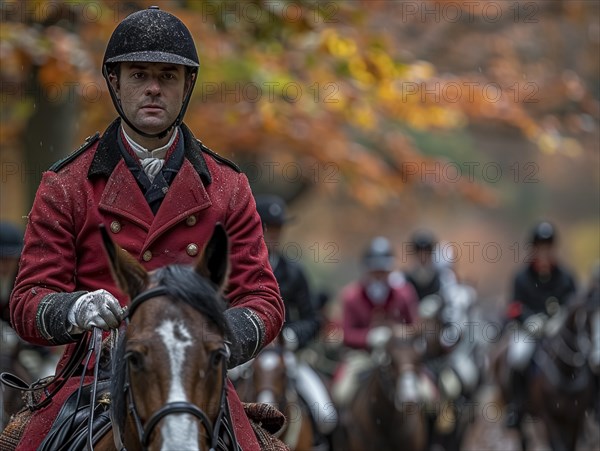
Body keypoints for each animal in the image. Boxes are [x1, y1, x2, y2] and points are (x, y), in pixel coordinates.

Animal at [492, 296, 596, 451]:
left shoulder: (575, 419)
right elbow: (557, 446)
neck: (566, 375)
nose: (596, 359)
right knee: (523, 437)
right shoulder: (549, 418)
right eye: (588, 324)